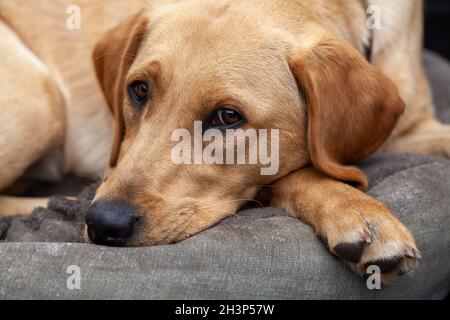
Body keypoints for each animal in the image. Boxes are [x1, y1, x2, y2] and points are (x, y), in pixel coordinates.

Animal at [0, 0, 448, 282]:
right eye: (139, 90)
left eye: (228, 117)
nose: (103, 223)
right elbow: (296, 175)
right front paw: (354, 209)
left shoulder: (413, 127)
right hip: (40, 100)